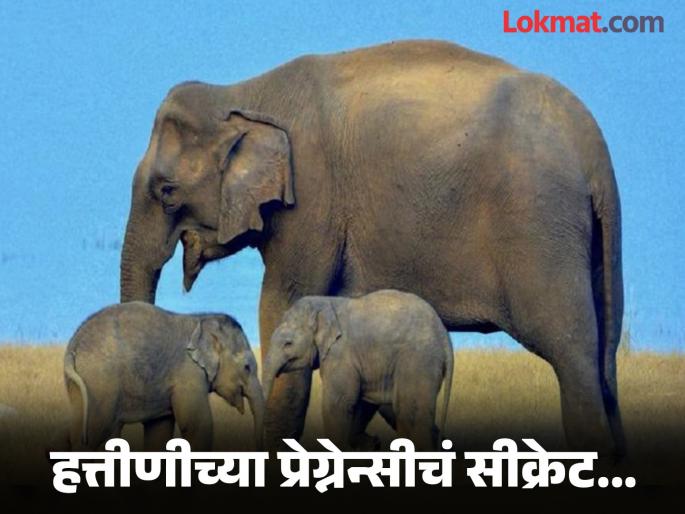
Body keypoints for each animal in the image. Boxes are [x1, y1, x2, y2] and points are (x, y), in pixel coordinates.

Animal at [63, 302, 264, 451]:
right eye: (247, 367)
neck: (202, 319)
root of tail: (73, 345)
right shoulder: (188, 372)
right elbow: (197, 424)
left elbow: (159, 428)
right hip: (100, 383)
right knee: (95, 433)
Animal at [263, 290, 454, 451]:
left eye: (288, 344)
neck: (324, 302)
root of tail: (444, 336)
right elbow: (361, 402)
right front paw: (369, 443)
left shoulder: (340, 354)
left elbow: (338, 403)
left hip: (418, 360)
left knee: (409, 412)